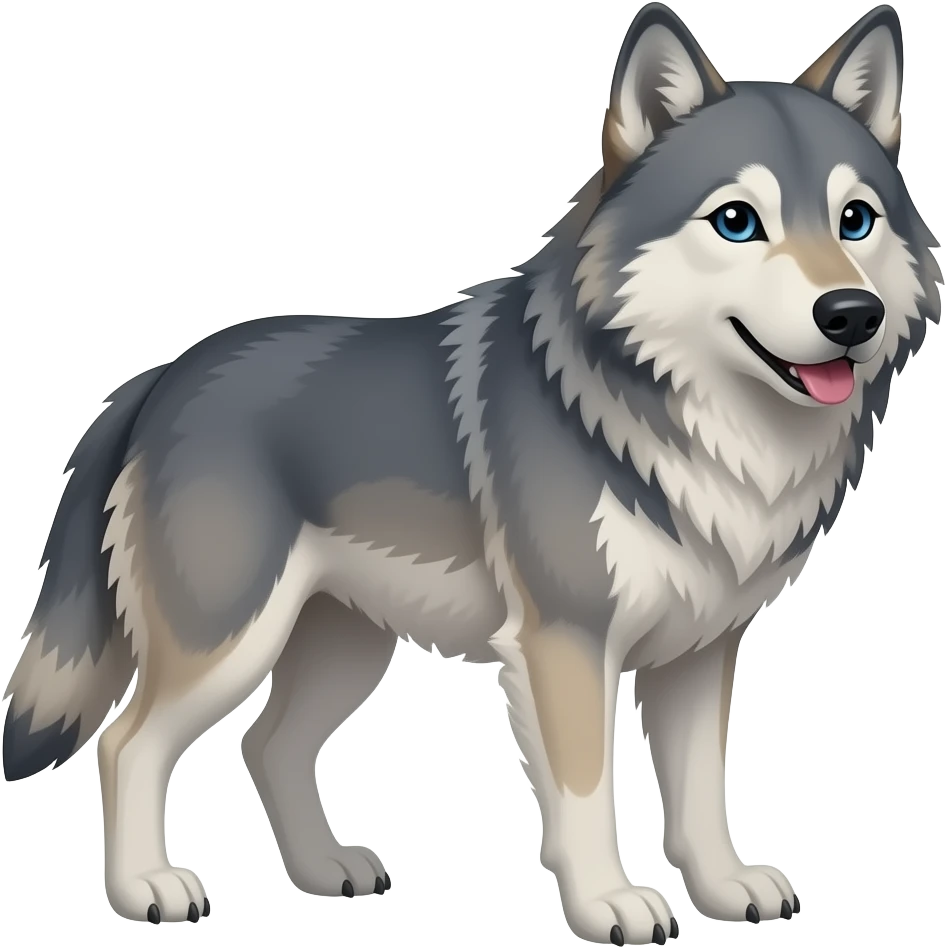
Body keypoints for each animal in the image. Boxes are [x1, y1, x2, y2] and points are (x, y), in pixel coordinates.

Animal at [3, 3, 942, 943]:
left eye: (855, 219)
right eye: (738, 221)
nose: (850, 315)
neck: (702, 429)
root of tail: (159, 377)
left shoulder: (701, 648)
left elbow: (700, 793)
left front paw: (721, 888)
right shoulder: (565, 641)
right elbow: (586, 791)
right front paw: (607, 902)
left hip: (344, 647)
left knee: (266, 743)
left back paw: (324, 870)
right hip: (228, 640)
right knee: (127, 742)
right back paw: (146, 889)